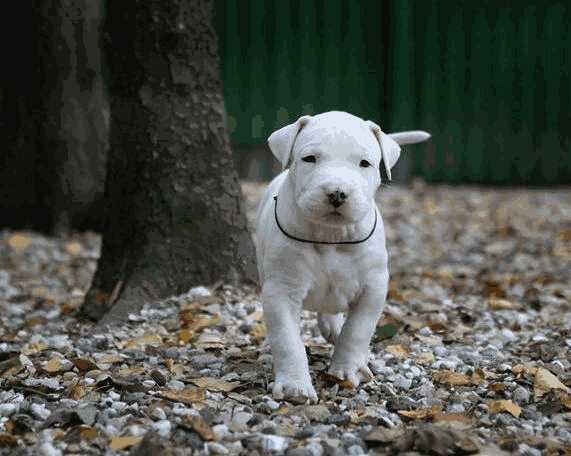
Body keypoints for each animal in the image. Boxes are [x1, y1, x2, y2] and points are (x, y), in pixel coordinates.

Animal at [255, 111, 428, 402]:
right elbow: (287, 339)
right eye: (310, 159)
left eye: (365, 163)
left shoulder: (374, 288)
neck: (331, 235)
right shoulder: (281, 290)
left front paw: (346, 370)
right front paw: (294, 386)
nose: (337, 192)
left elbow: (357, 330)